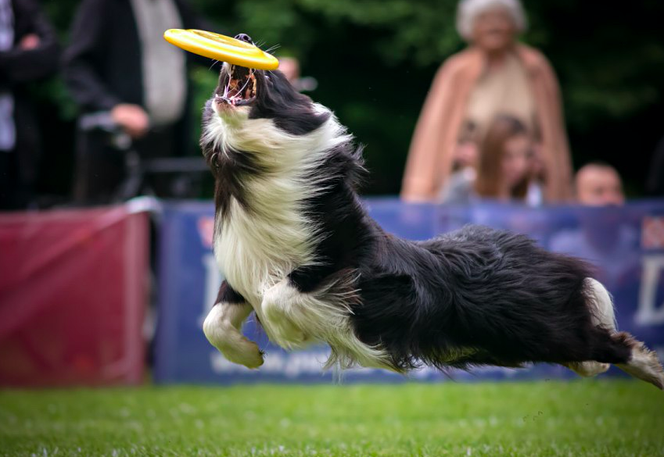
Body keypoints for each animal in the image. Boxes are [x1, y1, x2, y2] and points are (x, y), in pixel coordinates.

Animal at [201, 33, 664, 388]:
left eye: (276, 75)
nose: (240, 37)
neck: (254, 169)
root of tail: (540, 254)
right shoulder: (245, 268)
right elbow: (214, 322)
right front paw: (249, 355)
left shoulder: (343, 270)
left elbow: (278, 297)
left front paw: (287, 334)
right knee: (594, 355)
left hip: (545, 327)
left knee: (616, 344)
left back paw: (652, 371)